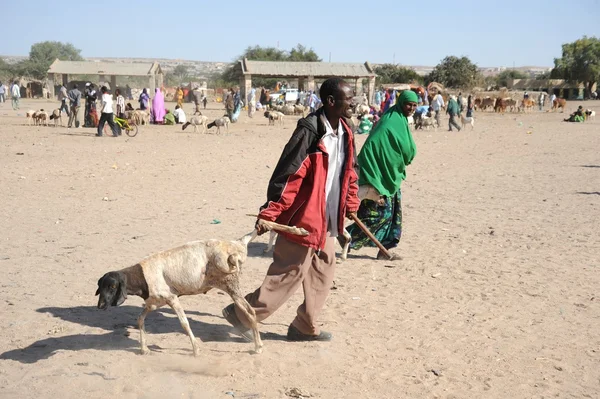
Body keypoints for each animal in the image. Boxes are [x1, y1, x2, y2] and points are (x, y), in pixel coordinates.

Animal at [95, 219, 310, 356]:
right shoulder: (154, 303)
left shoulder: (172, 298)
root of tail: (234, 247)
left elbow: (184, 323)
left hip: (230, 282)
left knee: (250, 312)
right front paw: (144, 349)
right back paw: (299, 230)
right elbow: (140, 320)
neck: (141, 276)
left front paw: (196, 350)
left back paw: (258, 346)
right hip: (231, 277)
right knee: (259, 228)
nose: (100, 306)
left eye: (112, 286)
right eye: (100, 286)